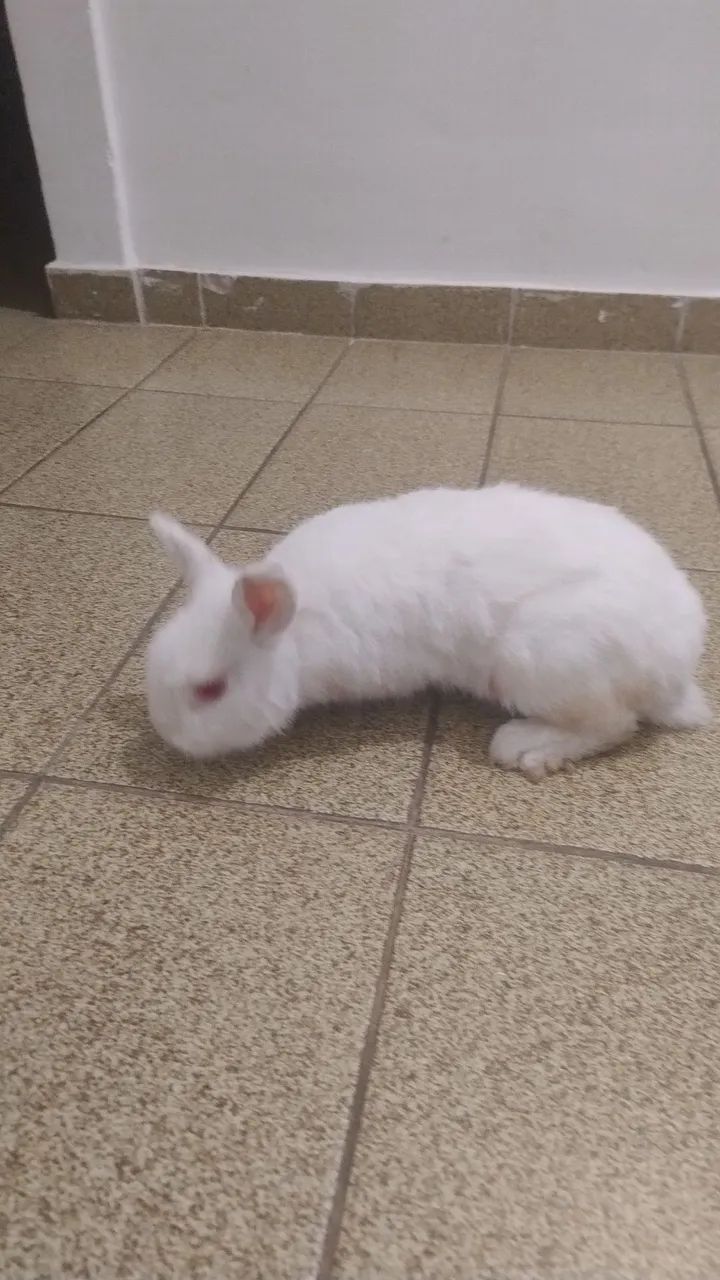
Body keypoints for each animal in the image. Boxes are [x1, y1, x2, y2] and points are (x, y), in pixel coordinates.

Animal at [145, 483, 710, 780]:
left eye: (210, 690)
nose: (168, 737)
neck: (296, 639)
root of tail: (676, 664)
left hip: (540, 661)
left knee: (615, 724)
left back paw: (525, 749)